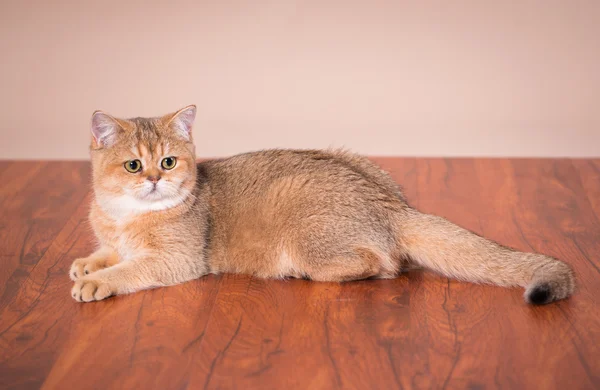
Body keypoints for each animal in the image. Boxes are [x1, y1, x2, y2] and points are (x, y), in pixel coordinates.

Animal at [68, 106, 576, 304]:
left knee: (382, 265)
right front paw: (88, 263)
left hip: (306, 233)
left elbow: (131, 269)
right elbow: (110, 253)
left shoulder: (177, 259)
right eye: (134, 165)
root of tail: (391, 206)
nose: (155, 179)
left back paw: (302, 273)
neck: (124, 217)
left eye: (169, 161)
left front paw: (97, 282)